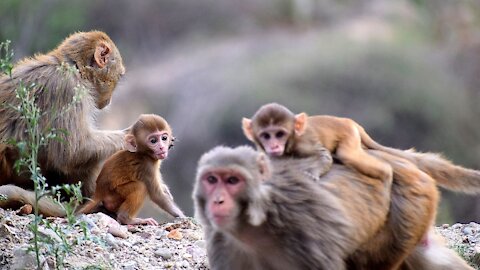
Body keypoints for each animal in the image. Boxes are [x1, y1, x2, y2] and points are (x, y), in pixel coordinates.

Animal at [242, 103, 392, 181]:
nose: (274, 146)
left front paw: (313, 172)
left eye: (279, 134)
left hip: (350, 134)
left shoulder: (304, 142)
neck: (292, 139)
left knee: (347, 155)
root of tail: (349, 121)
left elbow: (323, 154)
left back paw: (387, 173)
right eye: (266, 136)